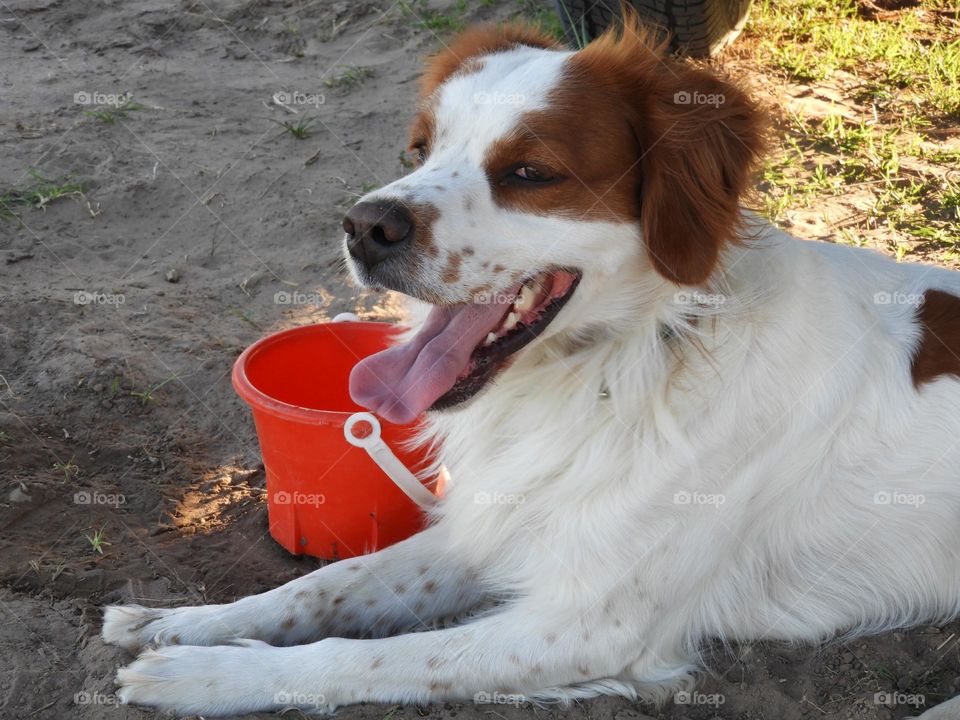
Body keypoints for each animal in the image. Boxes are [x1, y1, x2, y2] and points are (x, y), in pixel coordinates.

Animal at [103, 16, 960, 720]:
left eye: (528, 173)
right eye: (419, 148)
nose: (364, 226)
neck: (633, 359)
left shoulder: (588, 625)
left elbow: (368, 656)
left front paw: (205, 675)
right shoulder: (488, 524)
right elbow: (322, 585)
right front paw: (176, 623)